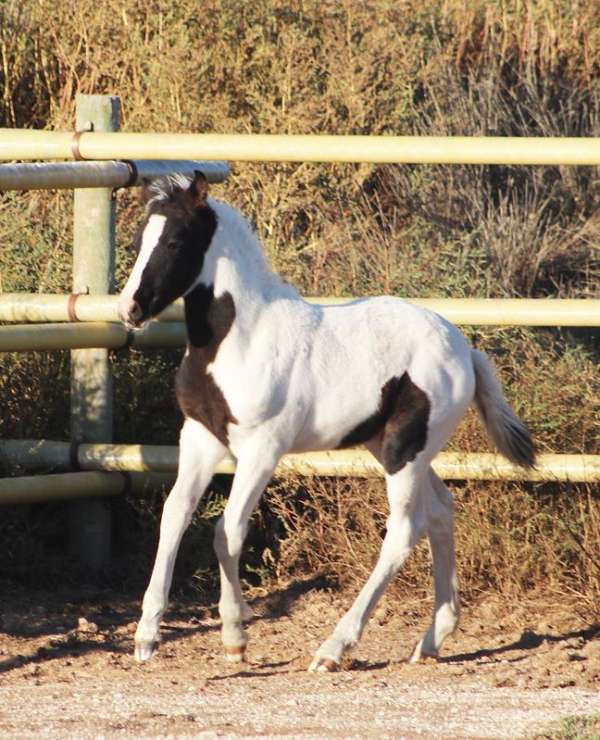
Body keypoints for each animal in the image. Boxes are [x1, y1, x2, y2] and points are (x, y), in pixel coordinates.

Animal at [118, 171, 535, 671]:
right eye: (141, 239)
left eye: (176, 241)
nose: (130, 309)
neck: (239, 339)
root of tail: (466, 351)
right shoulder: (200, 438)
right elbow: (174, 516)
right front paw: (146, 637)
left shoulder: (262, 450)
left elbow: (228, 531)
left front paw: (236, 636)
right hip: (393, 448)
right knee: (440, 511)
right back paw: (432, 640)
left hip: (404, 451)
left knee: (403, 532)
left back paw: (333, 649)